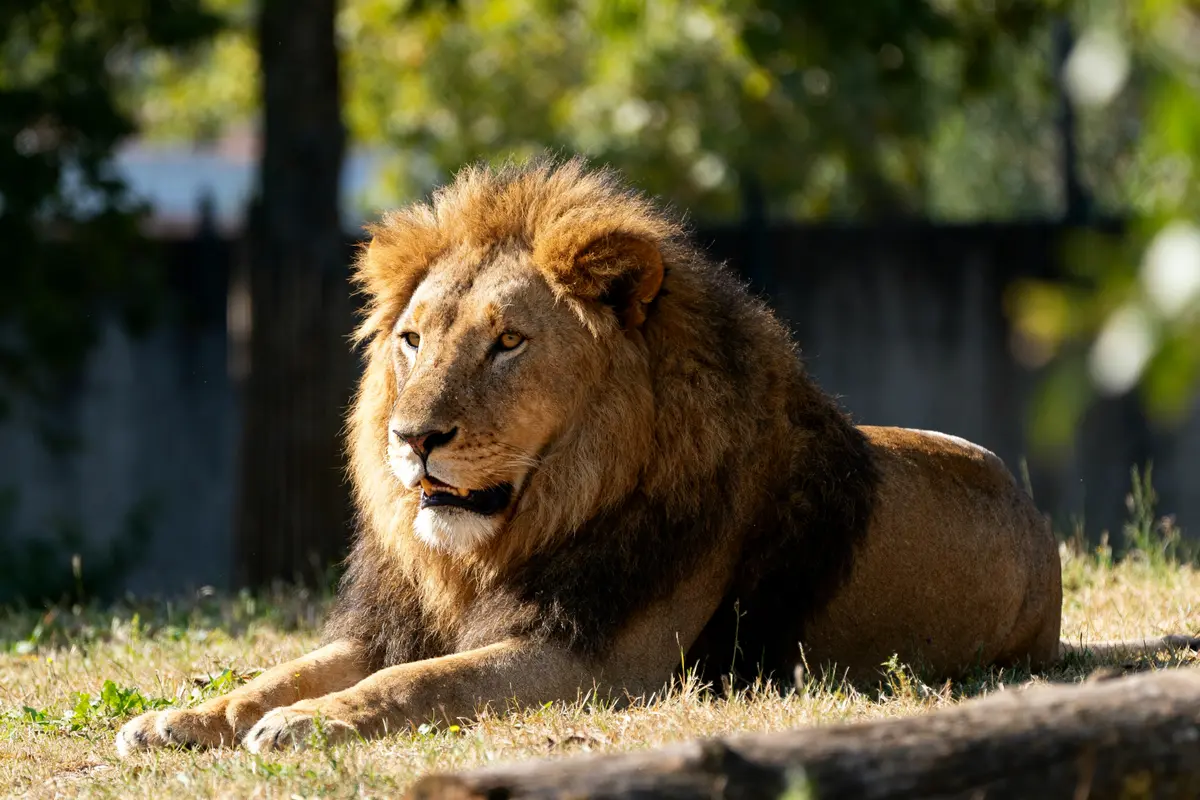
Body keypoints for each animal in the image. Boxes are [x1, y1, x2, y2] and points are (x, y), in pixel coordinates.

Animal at [117, 157, 1196, 756]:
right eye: (413, 341)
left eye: (508, 342)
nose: (412, 439)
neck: (497, 545)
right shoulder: (399, 623)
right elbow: (281, 667)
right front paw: (180, 718)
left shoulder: (597, 657)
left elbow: (423, 685)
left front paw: (306, 724)